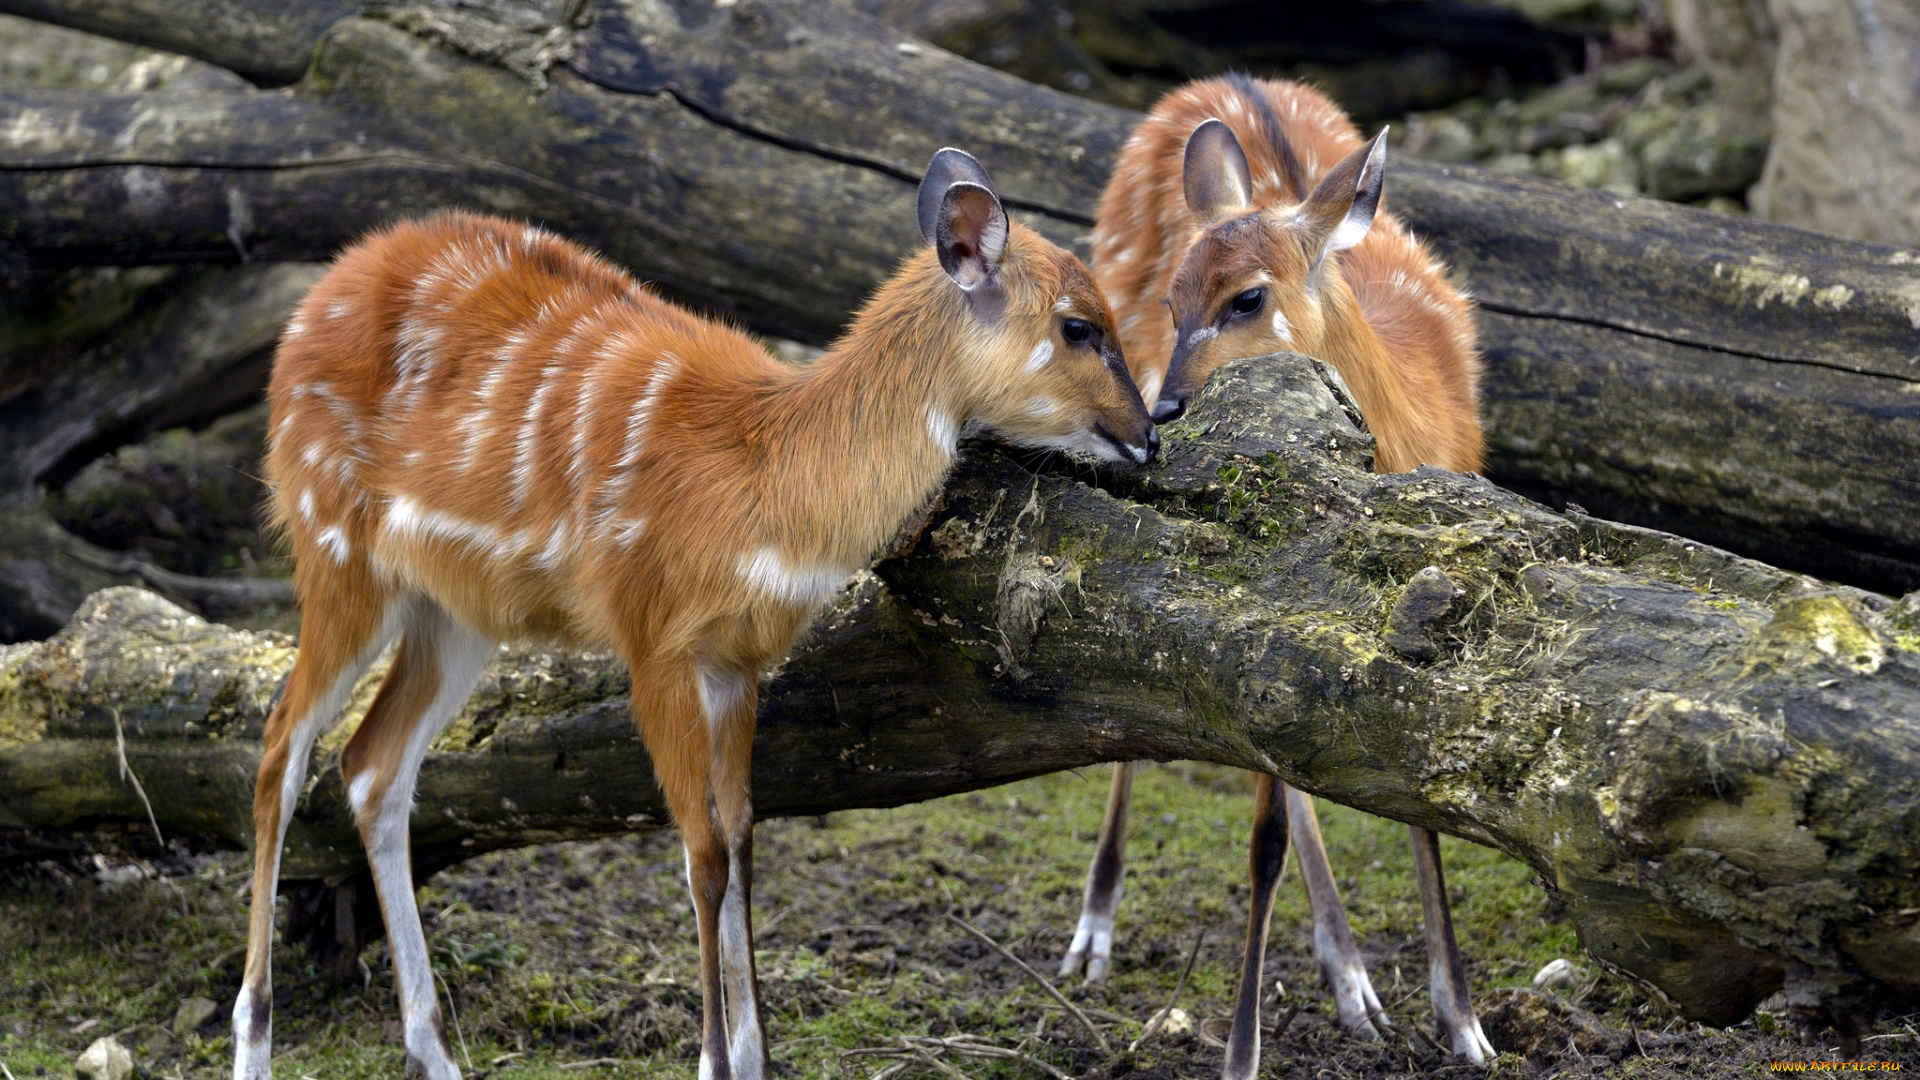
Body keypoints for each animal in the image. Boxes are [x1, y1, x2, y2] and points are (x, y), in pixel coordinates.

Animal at [230, 148, 1144, 1076]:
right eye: (1078, 326)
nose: (1152, 428)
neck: (766, 481)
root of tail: (310, 307)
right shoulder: (655, 644)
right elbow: (700, 855)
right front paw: (713, 1060)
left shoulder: (737, 663)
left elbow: (740, 841)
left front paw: (757, 1059)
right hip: (336, 552)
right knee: (280, 744)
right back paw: (255, 1043)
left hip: (455, 613)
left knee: (373, 765)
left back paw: (435, 1054)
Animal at [1067, 75, 1497, 1076]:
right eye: (1175, 297)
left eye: (1247, 298)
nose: (1166, 409)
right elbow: (1260, 834)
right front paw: (1241, 1054)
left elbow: (1412, 797)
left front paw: (1464, 1022)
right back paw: (1094, 931)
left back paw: (1352, 979)